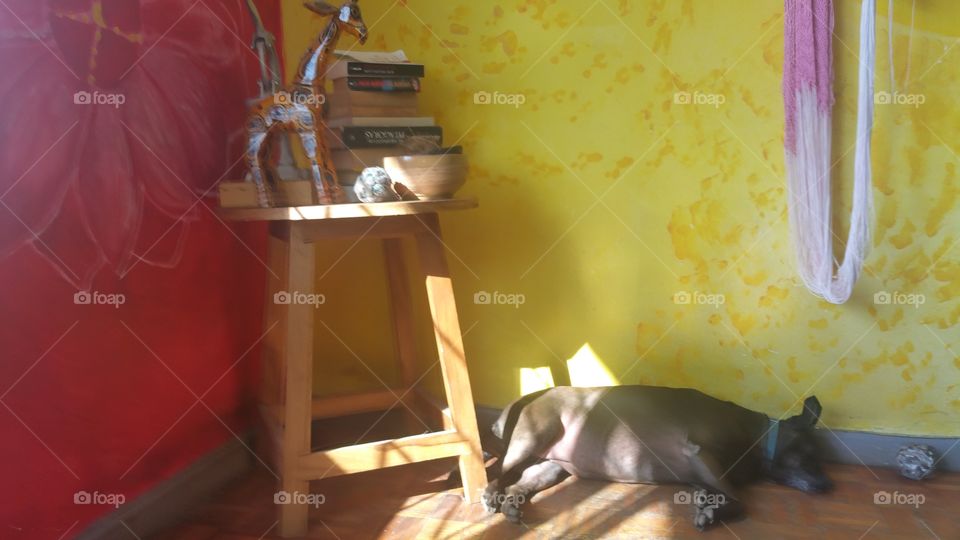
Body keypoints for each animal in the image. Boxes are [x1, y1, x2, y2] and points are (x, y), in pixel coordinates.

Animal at [476, 386, 828, 528]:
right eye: (810, 455)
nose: (828, 486)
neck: (761, 440)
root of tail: (533, 395)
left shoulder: (703, 471)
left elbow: (718, 491)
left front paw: (707, 502)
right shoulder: (699, 453)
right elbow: (741, 500)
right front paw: (711, 514)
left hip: (552, 466)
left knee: (519, 482)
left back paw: (511, 505)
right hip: (533, 436)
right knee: (496, 471)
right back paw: (490, 495)